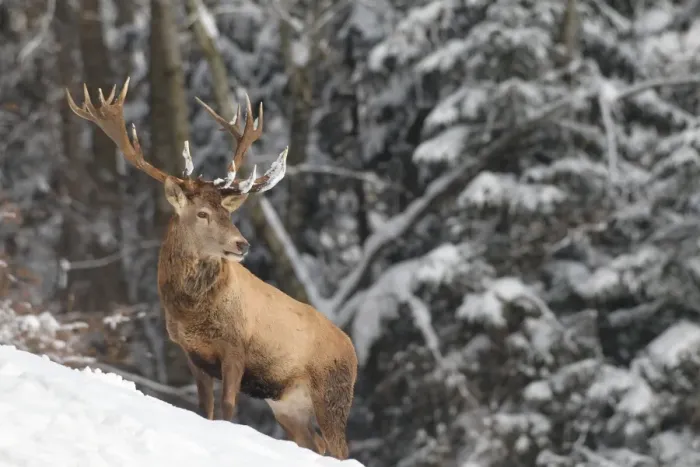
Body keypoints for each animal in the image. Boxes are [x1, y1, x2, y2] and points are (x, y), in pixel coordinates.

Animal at [65, 79, 358, 460]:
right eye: (202, 213)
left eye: (228, 213)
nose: (242, 244)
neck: (192, 312)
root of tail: (352, 351)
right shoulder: (192, 354)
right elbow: (205, 409)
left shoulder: (236, 348)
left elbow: (228, 410)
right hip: (289, 405)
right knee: (316, 444)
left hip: (333, 395)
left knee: (338, 448)